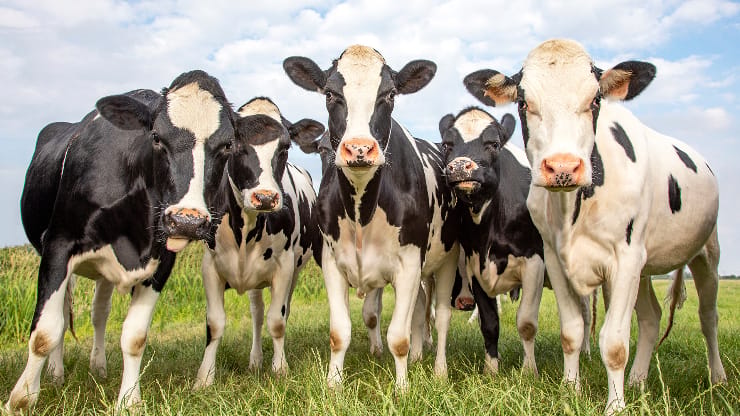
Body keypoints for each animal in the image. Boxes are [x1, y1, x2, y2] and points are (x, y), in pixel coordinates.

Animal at [7, 70, 236, 413]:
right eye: (156, 137)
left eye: (227, 145)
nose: (188, 221)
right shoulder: (58, 245)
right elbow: (45, 331)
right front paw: (20, 399)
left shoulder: (161, 260)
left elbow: (135, 336)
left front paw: (129, 401)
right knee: (63, 313)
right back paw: (56, 374)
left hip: (104, 269)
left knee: (98, 312)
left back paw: (98, 367)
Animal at [193, 97, 324, 388]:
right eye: (232, 144)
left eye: (285, 146)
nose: (265, 198)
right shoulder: (210, 265)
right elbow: (215, 322)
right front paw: (204, 377)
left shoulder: (284, 265)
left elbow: (277, 320)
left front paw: (280, 368)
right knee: (256, 314)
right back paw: (255, 360)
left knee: (277, 311)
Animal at [283, 45, 461, 389]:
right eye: (330, 93)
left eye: (389, 94)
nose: (359, 149)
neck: (361, 211)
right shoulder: (331, 261)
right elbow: (340, 332)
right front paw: (333, 385)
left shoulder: (409, 264)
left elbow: (399, 337)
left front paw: (403, 389)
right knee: (421, 307)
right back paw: (419, 356)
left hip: (447, 257)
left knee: (442, 315)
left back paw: (439, 370)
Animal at [464, 38, 726, 414]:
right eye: (524, 102)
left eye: (595, 101)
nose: (562, 167)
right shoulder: (555, 258)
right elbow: (571, 330)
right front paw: (569, 390)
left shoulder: (625, 258)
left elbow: (614, 343)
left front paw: (614, 406)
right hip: (645, 268)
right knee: (651, 318)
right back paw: (637, 380)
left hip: (706, 254)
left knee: (708, 316)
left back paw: (717, 377)